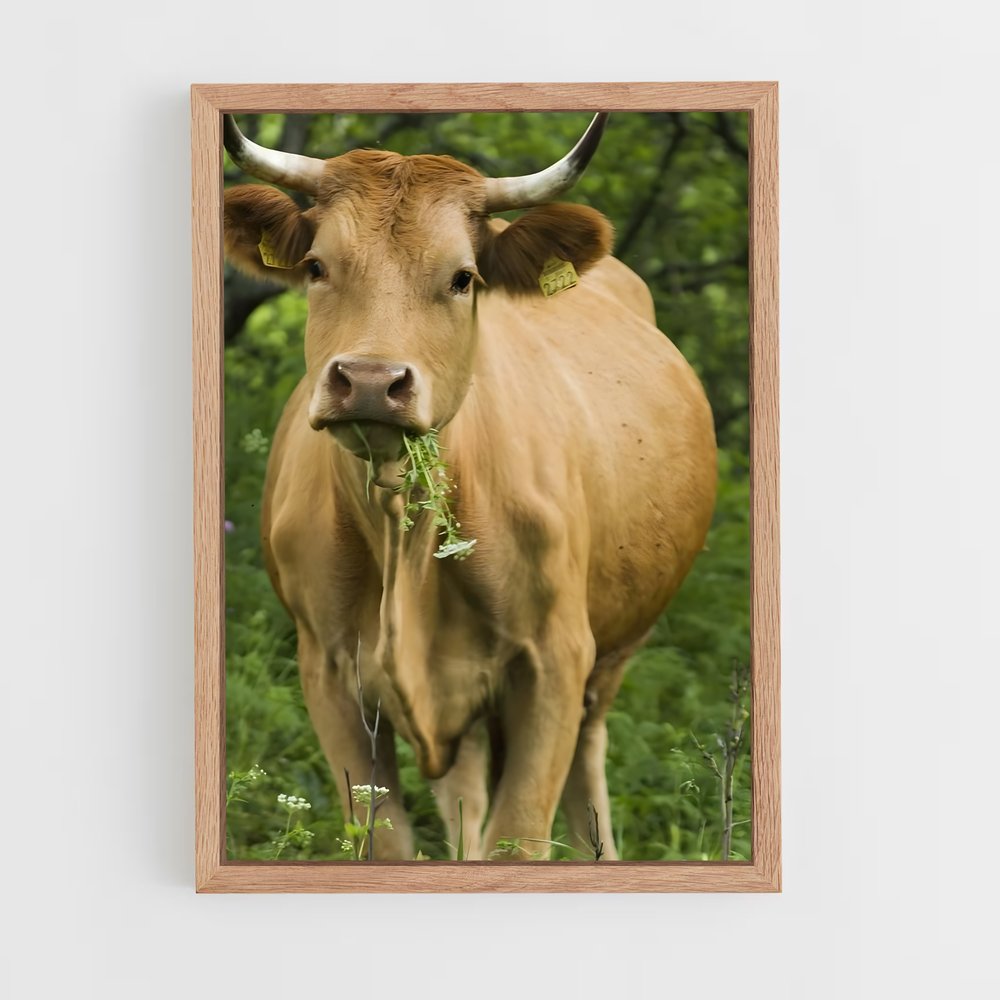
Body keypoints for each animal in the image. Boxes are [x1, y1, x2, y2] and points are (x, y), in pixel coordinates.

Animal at [222, 113, 717, 860]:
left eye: (462, 278)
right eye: (316, 267)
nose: (370, 381)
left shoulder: (554, 663)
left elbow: (520, 835)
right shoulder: (327, 669)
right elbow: (386, 841)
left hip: (611, 654)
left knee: (587, 771)